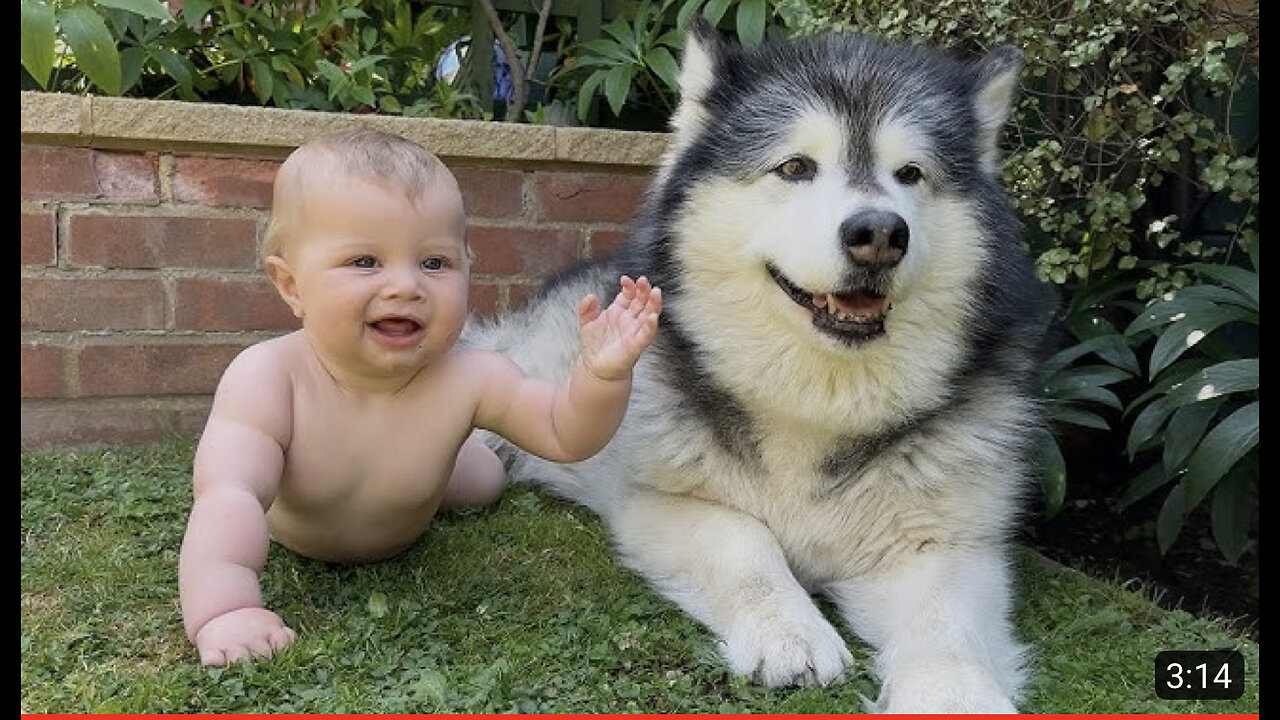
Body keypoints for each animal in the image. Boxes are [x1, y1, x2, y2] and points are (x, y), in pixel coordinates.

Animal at [460, 18, 1049, 712]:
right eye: (795, 167)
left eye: (910, 173)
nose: (879, 234)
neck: (818, 399)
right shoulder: (662, 500)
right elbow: (746, 543)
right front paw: (790, 631)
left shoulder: (947, 544)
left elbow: (945, 621)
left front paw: (954, 695)